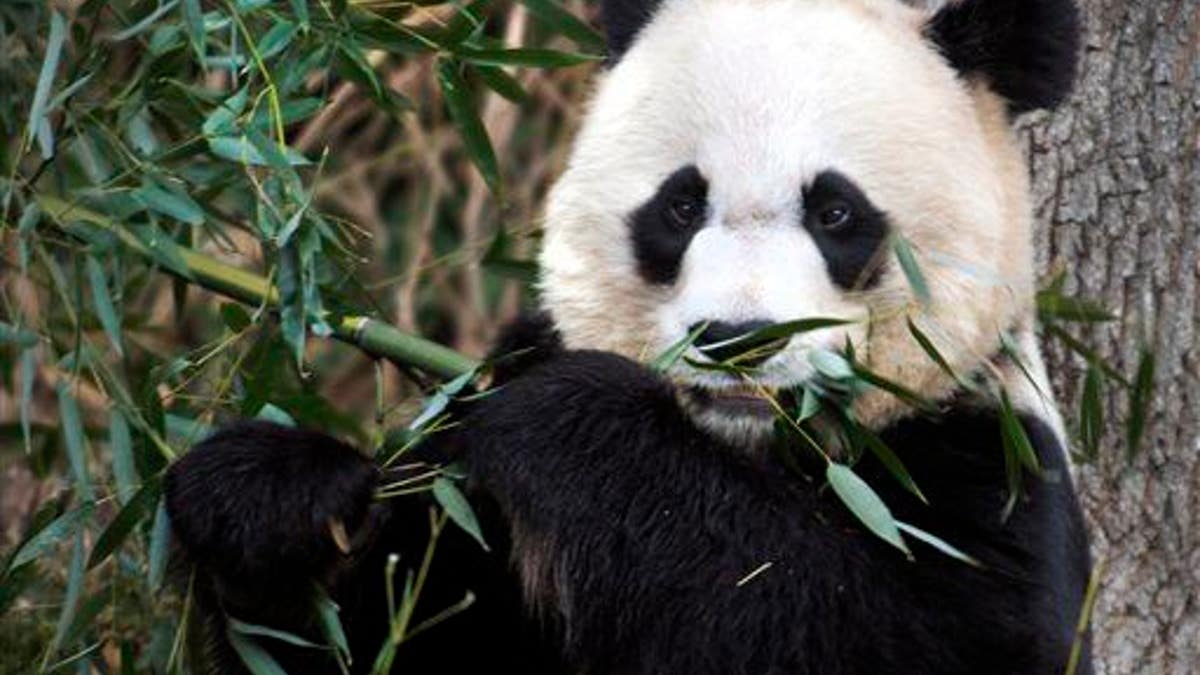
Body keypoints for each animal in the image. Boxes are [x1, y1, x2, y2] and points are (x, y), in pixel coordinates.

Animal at [164, 0, 1094, 673]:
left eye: (835, 212)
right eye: (681, 204)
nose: (736, 338)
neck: (739, 451)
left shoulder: (980, 457)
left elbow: (879, 635)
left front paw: (575, 420)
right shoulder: (484, 511)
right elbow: (385, 624)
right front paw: (278, 501)